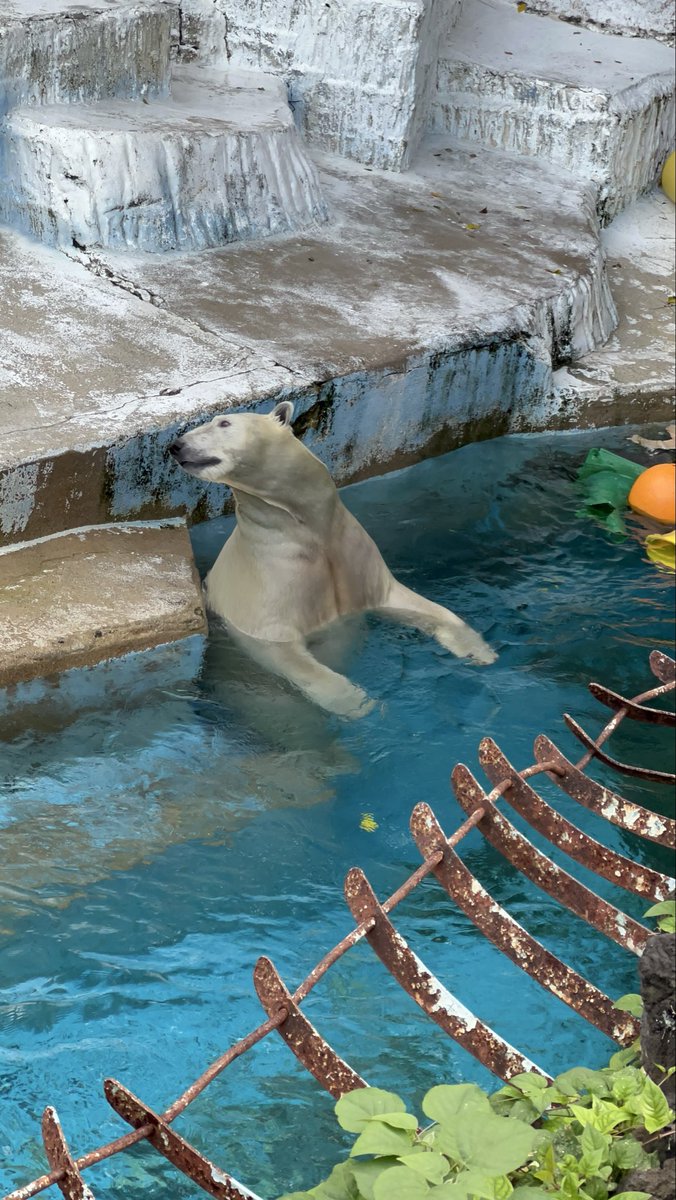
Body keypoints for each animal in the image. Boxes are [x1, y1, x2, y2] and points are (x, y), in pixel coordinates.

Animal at [170, 402, 496, 717]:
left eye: (223, 423)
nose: (177, 445)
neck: (310, 531)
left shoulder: (354, 558)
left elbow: (406, 602)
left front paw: (479, 650)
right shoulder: (266, 590)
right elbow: (287, 654)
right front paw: (360, 704)